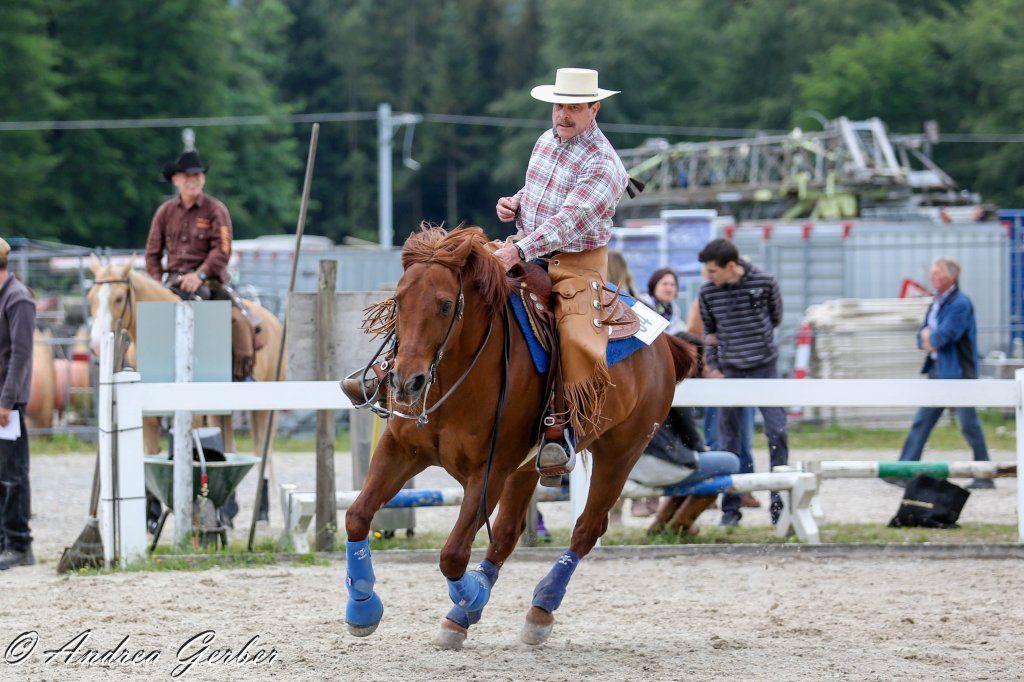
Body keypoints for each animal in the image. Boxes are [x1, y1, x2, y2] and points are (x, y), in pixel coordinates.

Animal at [85, 255, 285, 459]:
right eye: (90, 297)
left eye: (119, 298)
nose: (96, 345)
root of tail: (273, 321)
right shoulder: (148, 420)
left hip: (267, 407)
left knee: (263, 450)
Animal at [342, 226, 699, 649]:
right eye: (398, 302)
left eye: (445, 305)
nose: (404, 382)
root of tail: (664, 343)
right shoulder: (400, 450)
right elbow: (357, 516)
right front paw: (363, 607)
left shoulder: (489, 471)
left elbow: (453, 554)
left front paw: (472, 597)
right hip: (528, 468)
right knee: (508, 534)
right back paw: (465, 614)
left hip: (620, 453)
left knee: (586, 528)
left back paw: (539, 608)